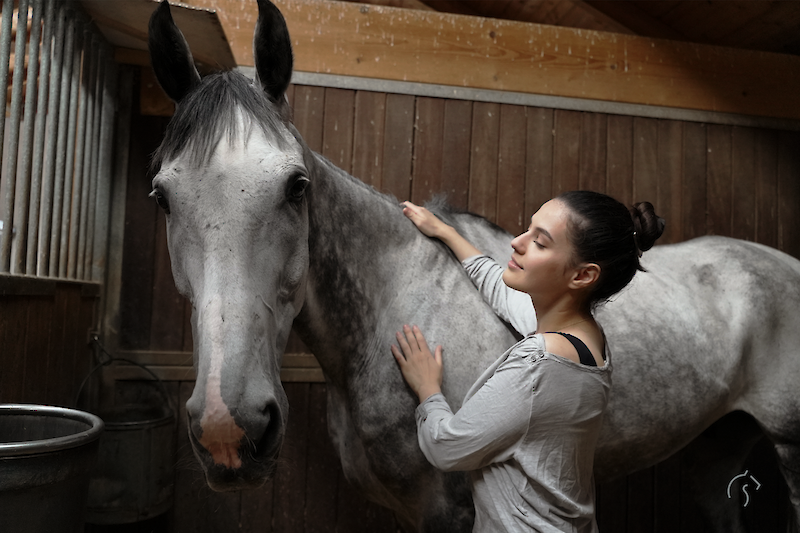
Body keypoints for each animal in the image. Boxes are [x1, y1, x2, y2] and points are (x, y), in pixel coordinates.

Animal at [147, 1, 800, 531]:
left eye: (296, 186)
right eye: (162, 197)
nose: (228, 429)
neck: (389, 310)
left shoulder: (452, 510)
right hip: (718, 447)